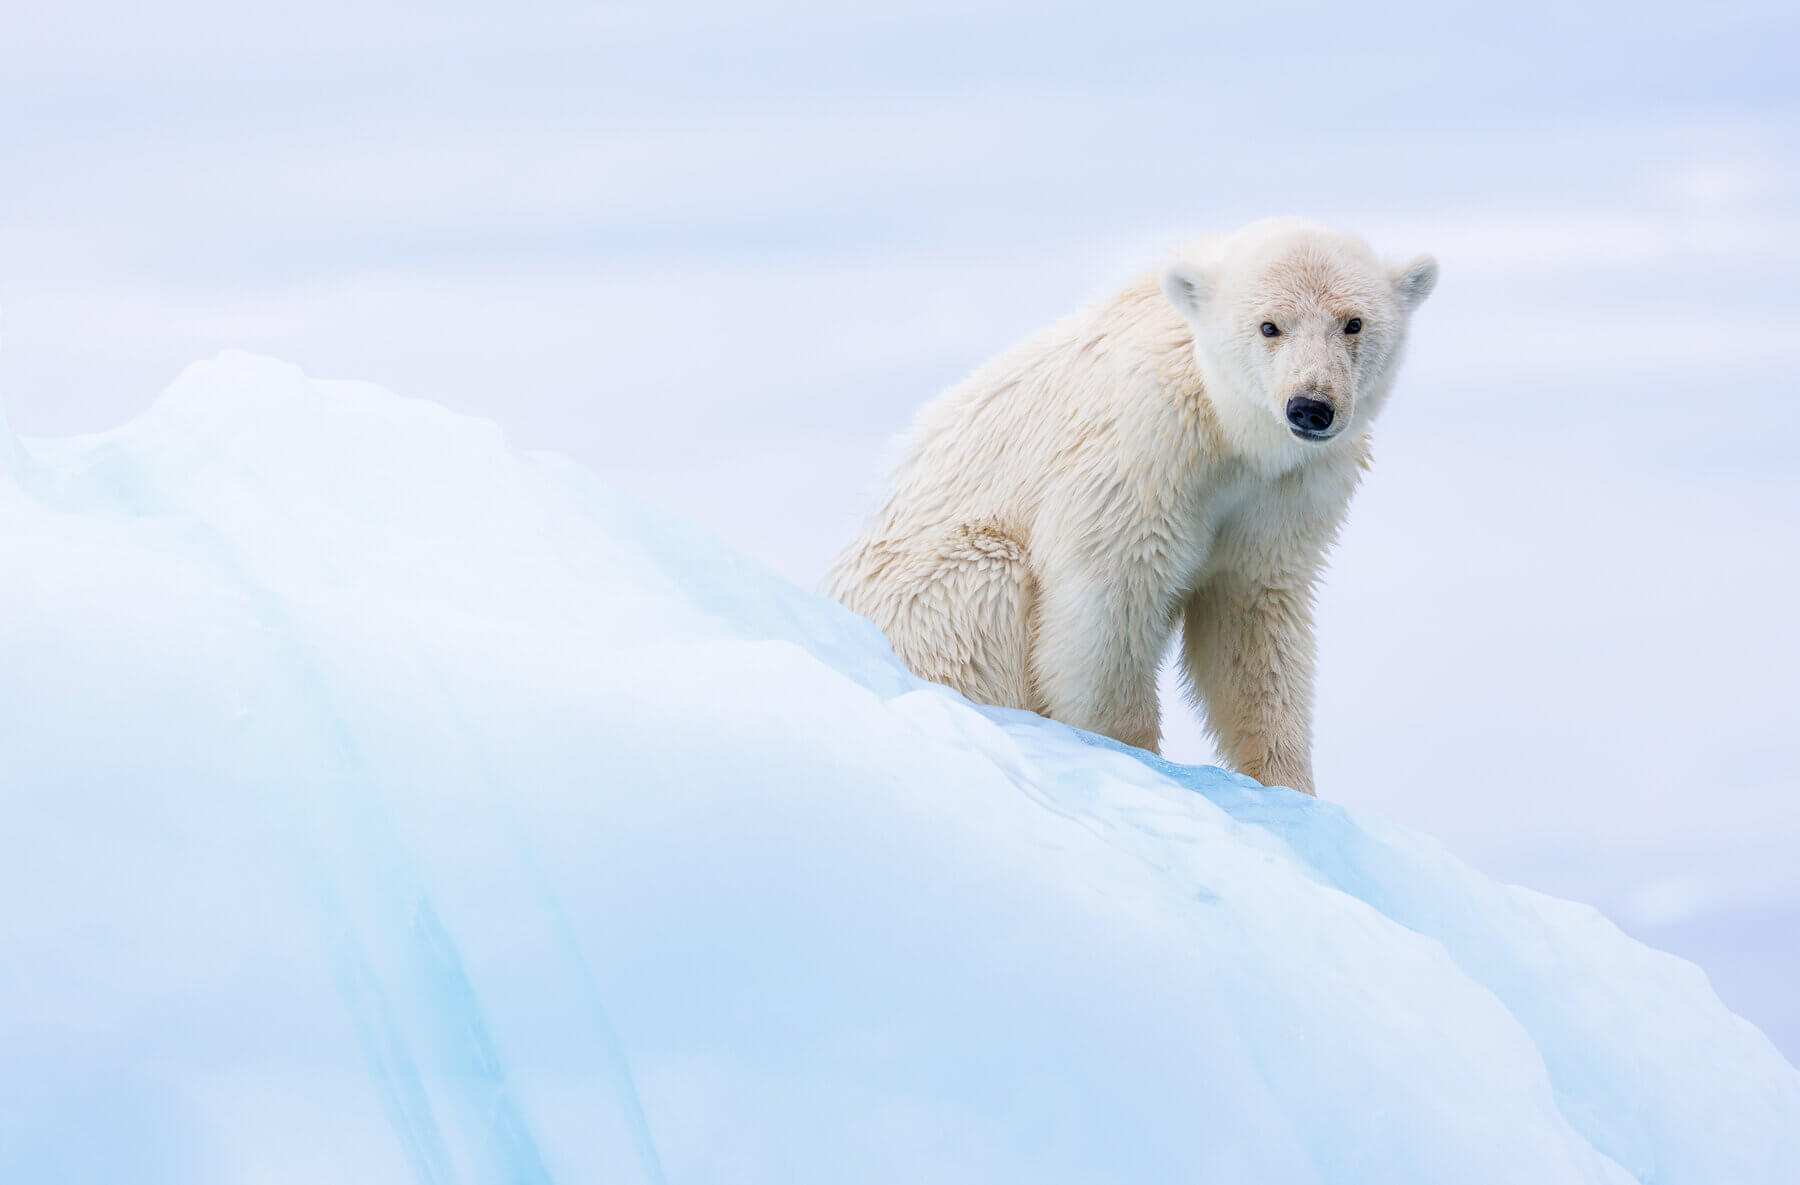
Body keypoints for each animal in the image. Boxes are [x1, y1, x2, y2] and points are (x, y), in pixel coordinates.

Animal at [826, 218, 1436, 796]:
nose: (1311, 406)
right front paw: (1137, 759)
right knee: (984, 585)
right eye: (1269, 325)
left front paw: (1289, 786)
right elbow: (1107, 603)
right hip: (928, 595)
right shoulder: (1144, 451)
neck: (1228, 427)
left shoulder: (1288, 491)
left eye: (1353, 322)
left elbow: (1252, 620)